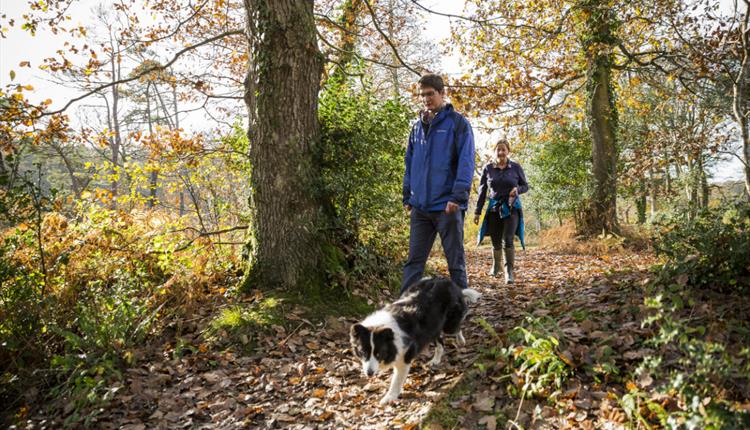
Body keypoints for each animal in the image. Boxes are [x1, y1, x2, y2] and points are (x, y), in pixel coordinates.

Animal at [352, 278, 482, 404]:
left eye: (379, 353)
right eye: (363, 352)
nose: (369, 374)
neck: (383, 327)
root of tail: (451, 283)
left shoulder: (405, 355)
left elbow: (396, 380)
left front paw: (389, 397)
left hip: (449, 324)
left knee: (456, 327)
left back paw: (460, 340)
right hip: (433, 326)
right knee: (440, 342)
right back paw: (435, 360)